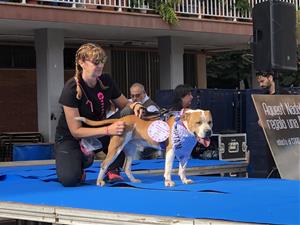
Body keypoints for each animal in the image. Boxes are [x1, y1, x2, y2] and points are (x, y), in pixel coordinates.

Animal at [76, 110, 212, 187]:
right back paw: (99, 181)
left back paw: (133, 180)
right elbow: (168, 169)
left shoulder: (185, 153)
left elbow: (182, 169)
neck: (183, 126)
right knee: (104, 164)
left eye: (209, 122)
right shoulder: (171, 151)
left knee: (126, 167)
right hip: (115, 148)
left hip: (130, 150)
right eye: (198, 122)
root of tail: (121, 119)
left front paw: (184, 180)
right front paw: (168, 182)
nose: (208, 132)